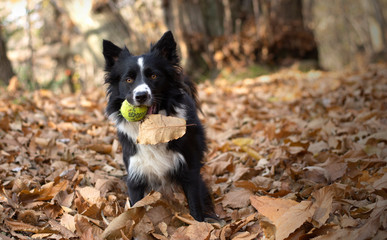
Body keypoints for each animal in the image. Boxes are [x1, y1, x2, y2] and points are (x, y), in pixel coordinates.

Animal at [103, 31, 215, 221]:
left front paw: (200, 223)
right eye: (128, 79)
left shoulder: (188, 169)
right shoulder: (135, 173)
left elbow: (194, 203)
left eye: (154, 76)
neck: (152, 132)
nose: (141, 96)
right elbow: (135, 208)